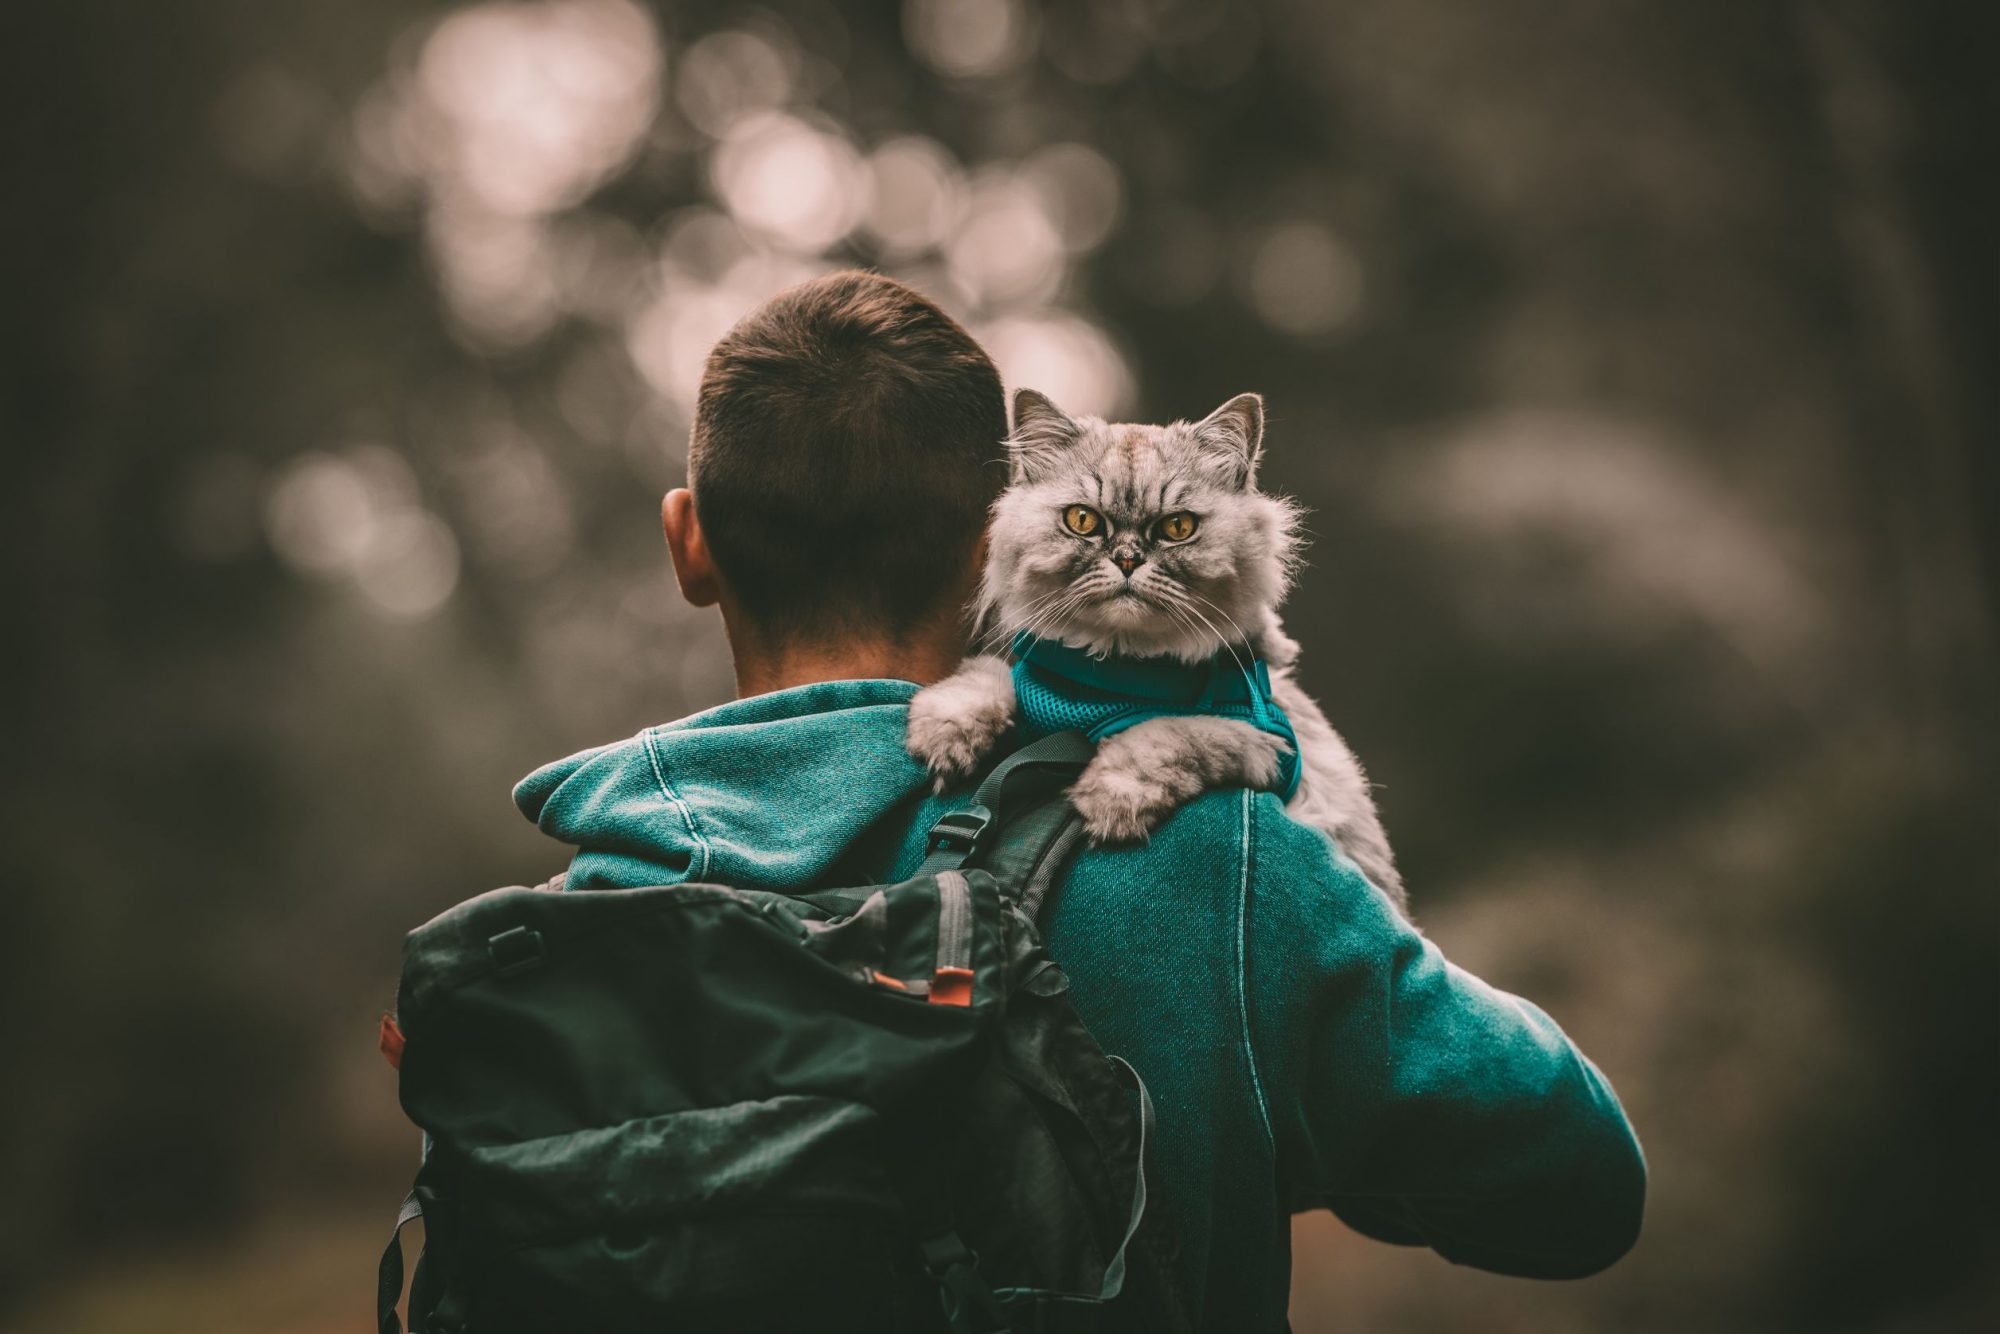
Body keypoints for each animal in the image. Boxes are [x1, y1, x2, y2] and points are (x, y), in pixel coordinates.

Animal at [908, 386, 1408, 920]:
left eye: (1178, 527)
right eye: (1082, 521)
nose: (1127, 560)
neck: (1112, 677)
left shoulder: (1262, 742)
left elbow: (1165, 734)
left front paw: (1108, 799)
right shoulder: (1033, 674)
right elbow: (986, 677)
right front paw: (947, 734)